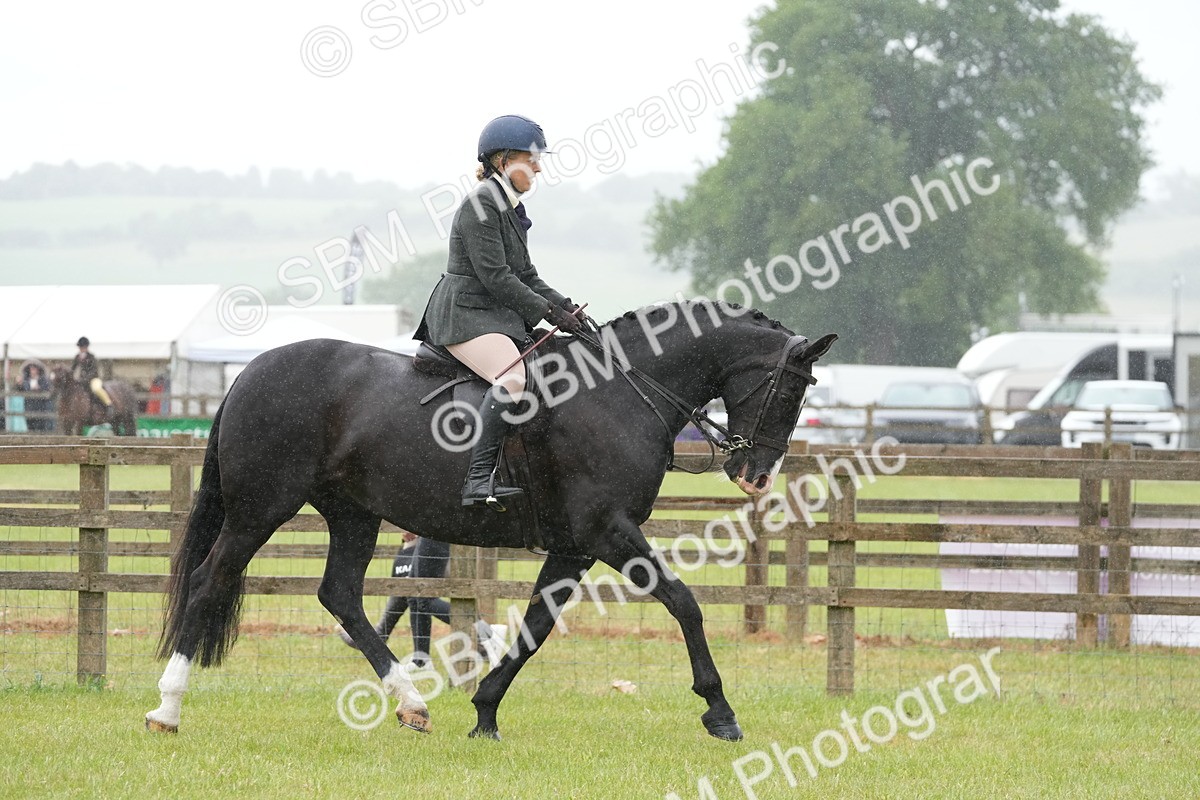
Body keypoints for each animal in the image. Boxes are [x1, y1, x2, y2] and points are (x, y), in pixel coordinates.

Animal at [146, 301, 837, 741]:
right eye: (790, 389)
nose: (756, 475)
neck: (620, 392)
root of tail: (249, 373)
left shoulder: (575, 547)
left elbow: (535, 626)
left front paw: (484, 712)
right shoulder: (608, 531)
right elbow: (684, 603)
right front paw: (720, 711)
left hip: (353, 514)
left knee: (340, 594)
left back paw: (413, 705)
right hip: (260, 509)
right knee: (209, 582)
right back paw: (168, 709)